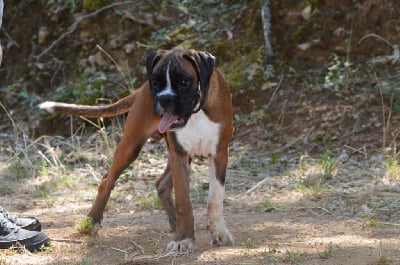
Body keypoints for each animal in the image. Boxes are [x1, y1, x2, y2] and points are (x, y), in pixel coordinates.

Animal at [39, 48, 233, 253]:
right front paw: (184, 238)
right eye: (155, 82)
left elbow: (215, 198)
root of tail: (140, 89)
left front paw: (218, 232)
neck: (197, 112)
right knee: (107, 180)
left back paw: (174, 222)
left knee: (161, 184)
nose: (164, 99)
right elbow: (184, 201)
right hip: (131, 147)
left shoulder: (219, 154)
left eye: (183, 82)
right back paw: (92, 221)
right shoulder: (179, 154)